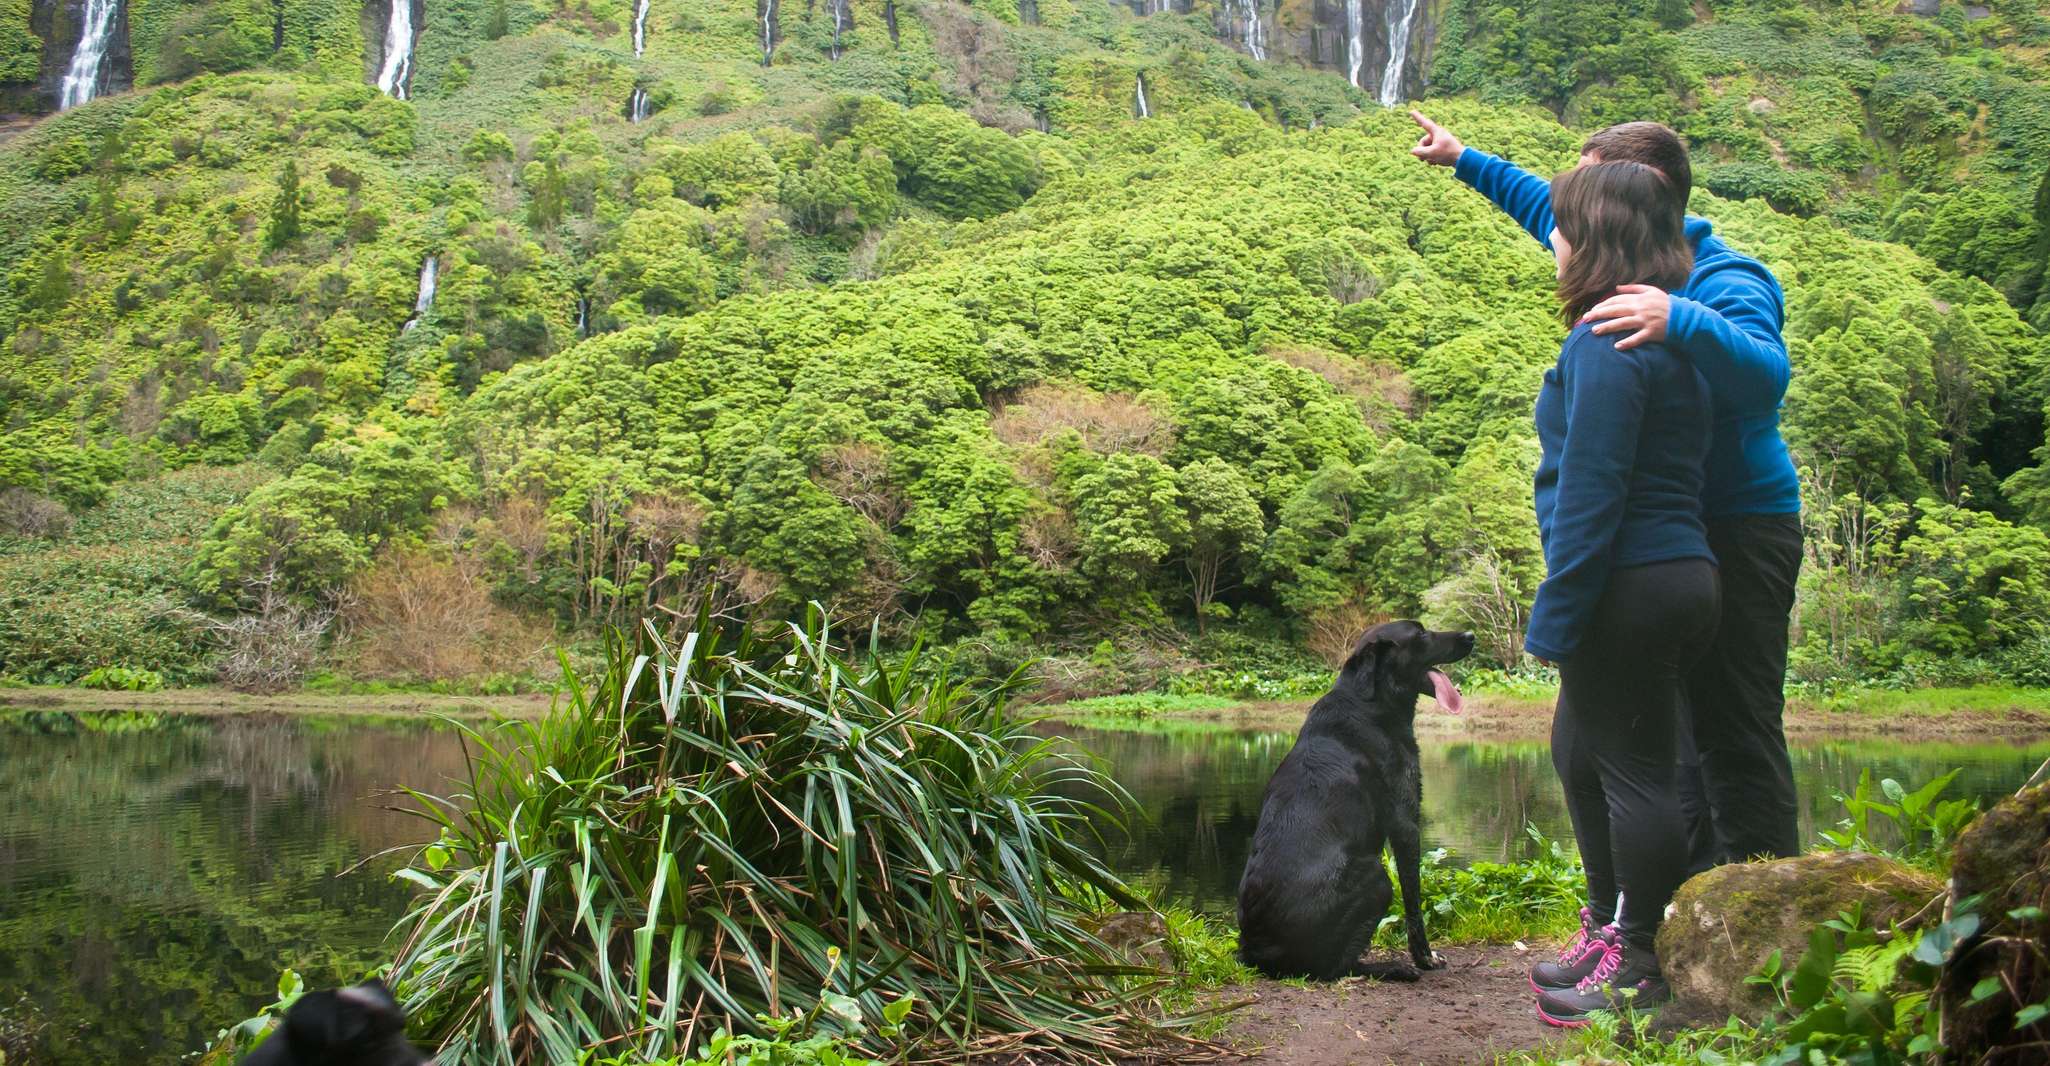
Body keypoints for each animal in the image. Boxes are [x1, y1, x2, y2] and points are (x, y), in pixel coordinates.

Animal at [1230, 619, 1476, 979]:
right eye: (1419, 634)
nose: (1471, 636)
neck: (1370, 704)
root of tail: (1256, 952)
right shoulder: (1405, 823)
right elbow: (1414, 904)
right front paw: (1425, 958)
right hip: (1377, 877)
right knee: (1335, 967)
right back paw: (1393, 968)